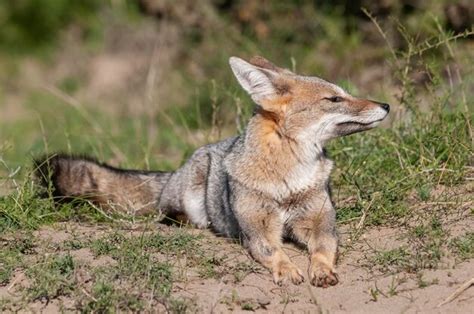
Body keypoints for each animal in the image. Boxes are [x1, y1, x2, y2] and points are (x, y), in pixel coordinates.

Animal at [36, 56, 388, 288]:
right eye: (334, 98)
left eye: (343, 94)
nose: (385, 105)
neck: (288, 180)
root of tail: (174, 171)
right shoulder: (258, 231)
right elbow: (274, 251)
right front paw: (287, 270)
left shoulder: (321, 223)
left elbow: (324, 249)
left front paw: (322, 270)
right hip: (193, 191)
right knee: (168, 214)